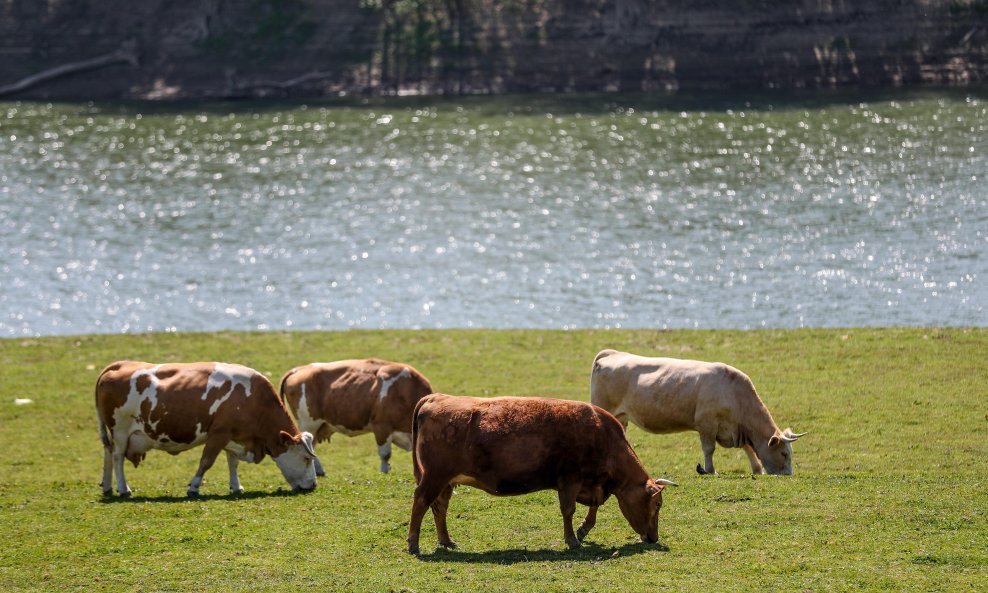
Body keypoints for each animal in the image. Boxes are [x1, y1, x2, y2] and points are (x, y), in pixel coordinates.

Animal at [96, 360, 316, 494]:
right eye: (306, 458)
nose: (313, 485)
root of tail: (118, 365)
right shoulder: (218, 434)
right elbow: (206, 461)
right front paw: (194, 486)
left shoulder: (234, 435)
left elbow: (232, 462)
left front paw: (236, 486)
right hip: (120, 431)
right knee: (117, 457)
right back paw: (124, 489)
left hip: (114, 434)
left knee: (108, 452)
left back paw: (107, 487)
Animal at [406, 394, 676, 556]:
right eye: (658, 504)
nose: (653, 538)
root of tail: (436, 397)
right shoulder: (570, 480)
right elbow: (568, 510)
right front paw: (572, 539)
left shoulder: (592, 483)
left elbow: (594, 509)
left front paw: (583, 530)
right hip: (434, 477)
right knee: (421, 502)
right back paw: (414, 543)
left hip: (446, 481)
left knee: (439, 507)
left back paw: (446, 541)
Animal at [592, 350, 808, 474]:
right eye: (784, 454)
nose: (788, 476)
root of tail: (610, 353)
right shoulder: (706, 424)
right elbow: (709, 449)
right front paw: (710, 470)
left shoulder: (736, 429)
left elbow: (748, 448)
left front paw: (757, 470)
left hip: (621, 418)